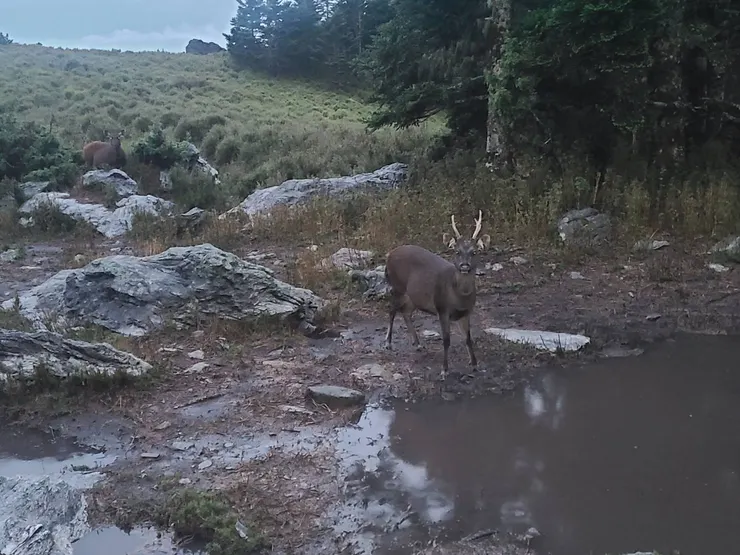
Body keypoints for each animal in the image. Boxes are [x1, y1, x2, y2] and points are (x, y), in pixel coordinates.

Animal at [384, 210, 491, 380]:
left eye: (474, 252)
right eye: (457, 251)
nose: (464, 266)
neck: (459, 296)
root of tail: (389, 254)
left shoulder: (466, 312)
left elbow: (468, 338)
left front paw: (474, 364)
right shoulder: (442, 308)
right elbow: (446, 340)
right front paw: (444, 369)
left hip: (413, 295)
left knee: (406, 312)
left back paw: (418, 343)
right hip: (397, 285)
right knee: (392, 310)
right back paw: (388, 342)